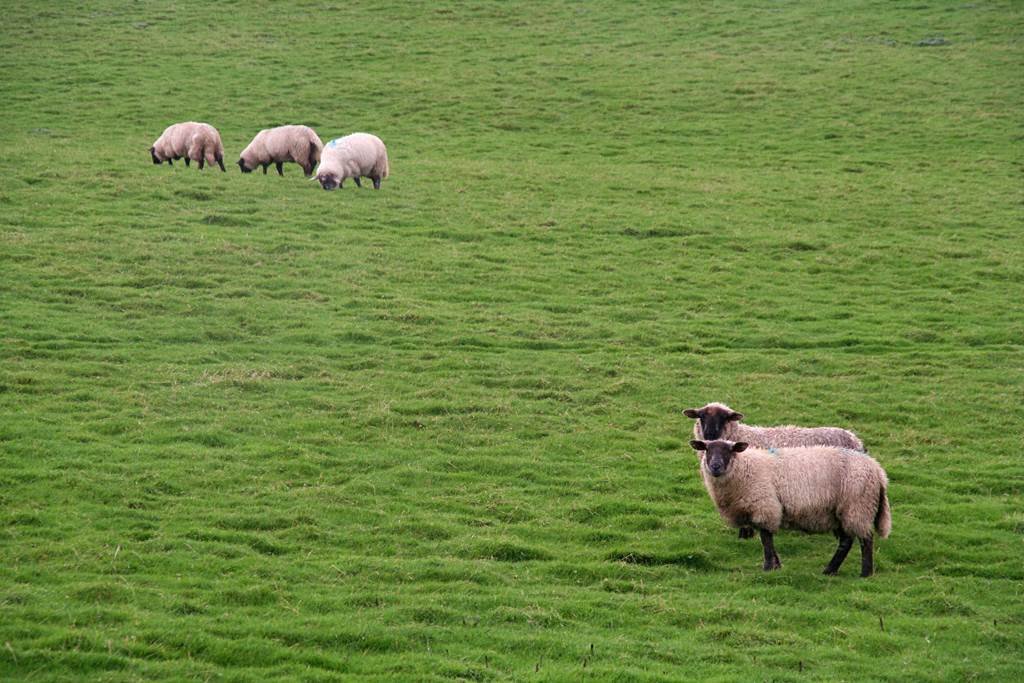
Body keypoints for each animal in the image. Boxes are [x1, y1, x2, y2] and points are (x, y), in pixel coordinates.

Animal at [688, 440, 897, 581]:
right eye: (707, 449)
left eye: (729, 450)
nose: (715, 466)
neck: (744, 468)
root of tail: (878, 471)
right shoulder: (765, 509)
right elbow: (767, 539)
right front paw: (777, 565)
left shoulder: (765, 506)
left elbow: (766, 539)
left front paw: (768, 567)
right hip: (843, 511)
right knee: (846, 542)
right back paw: (830, 570)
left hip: (858, 506)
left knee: (865, 540)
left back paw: (865, 573)